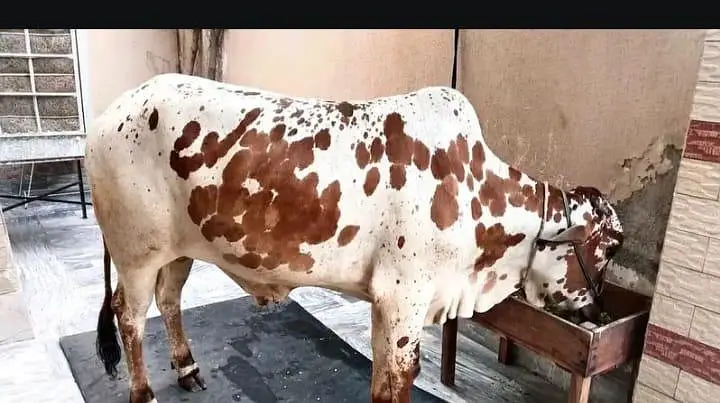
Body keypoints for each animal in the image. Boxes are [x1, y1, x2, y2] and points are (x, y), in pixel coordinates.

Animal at [87, 73, 624, 403]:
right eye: (610, 247)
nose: (599, 315)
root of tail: (112, 112)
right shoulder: (404, 298)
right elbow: (399, 379)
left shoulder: (390, 302)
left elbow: (387, 378)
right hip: (136, 254)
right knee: (129, 318)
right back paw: (143, 392)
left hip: (177, 251)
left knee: (169, 300)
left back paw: (186, 367)